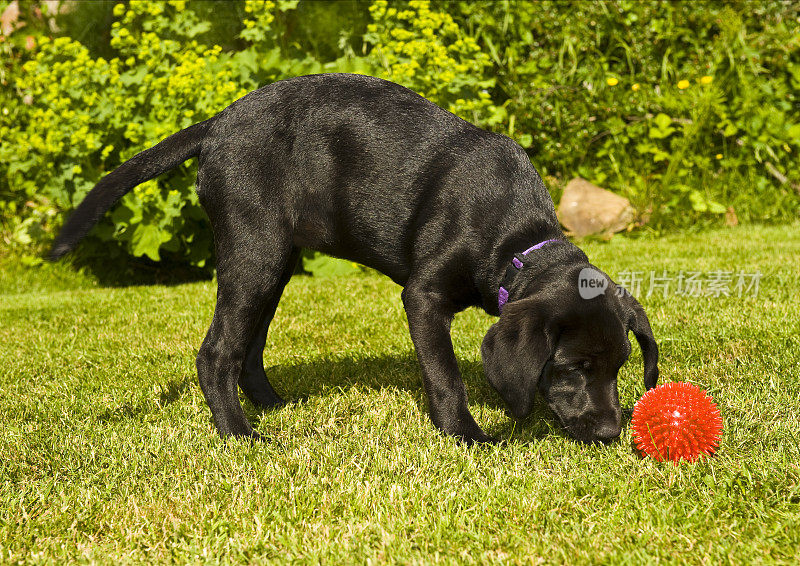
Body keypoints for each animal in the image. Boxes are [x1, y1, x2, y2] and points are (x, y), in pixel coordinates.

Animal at [53, 73, 660, 446]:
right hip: (255, 253)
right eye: (573, 366)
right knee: (216, 353)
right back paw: (239, 434)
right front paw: (464, 434)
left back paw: (273, 406)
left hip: (274, 263)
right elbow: (444, 374)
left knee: (248, 349)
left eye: (621, 367)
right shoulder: (423, 296)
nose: (610, 432)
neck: (515, 237)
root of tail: (219, 122)